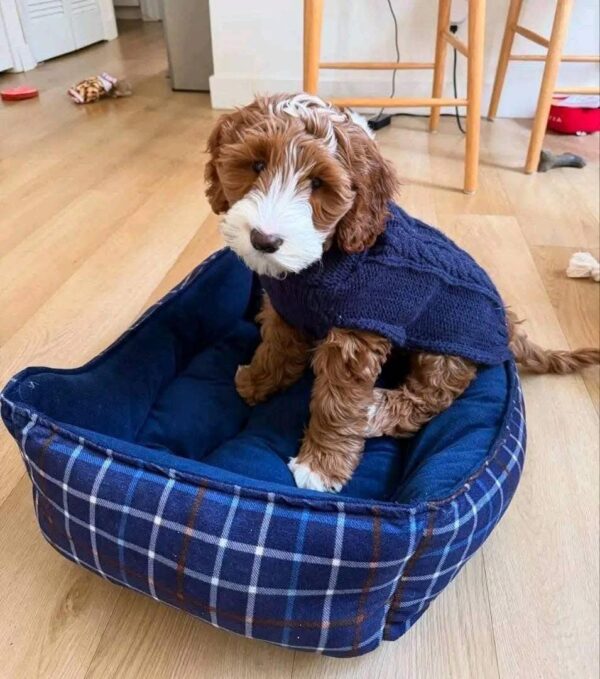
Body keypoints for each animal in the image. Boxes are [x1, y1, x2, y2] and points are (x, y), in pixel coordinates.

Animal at [206, 93, 600, 492]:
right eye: (256, 164)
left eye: (318, 183)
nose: (264, 240)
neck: (322, 262)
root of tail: (506, 322)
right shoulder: (286, 309)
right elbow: (276, 347)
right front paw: (258, 381)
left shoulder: (356, 336)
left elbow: (338, 402)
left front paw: (321, 465)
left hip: (445, 348)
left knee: (429, 398)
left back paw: (375, 412)